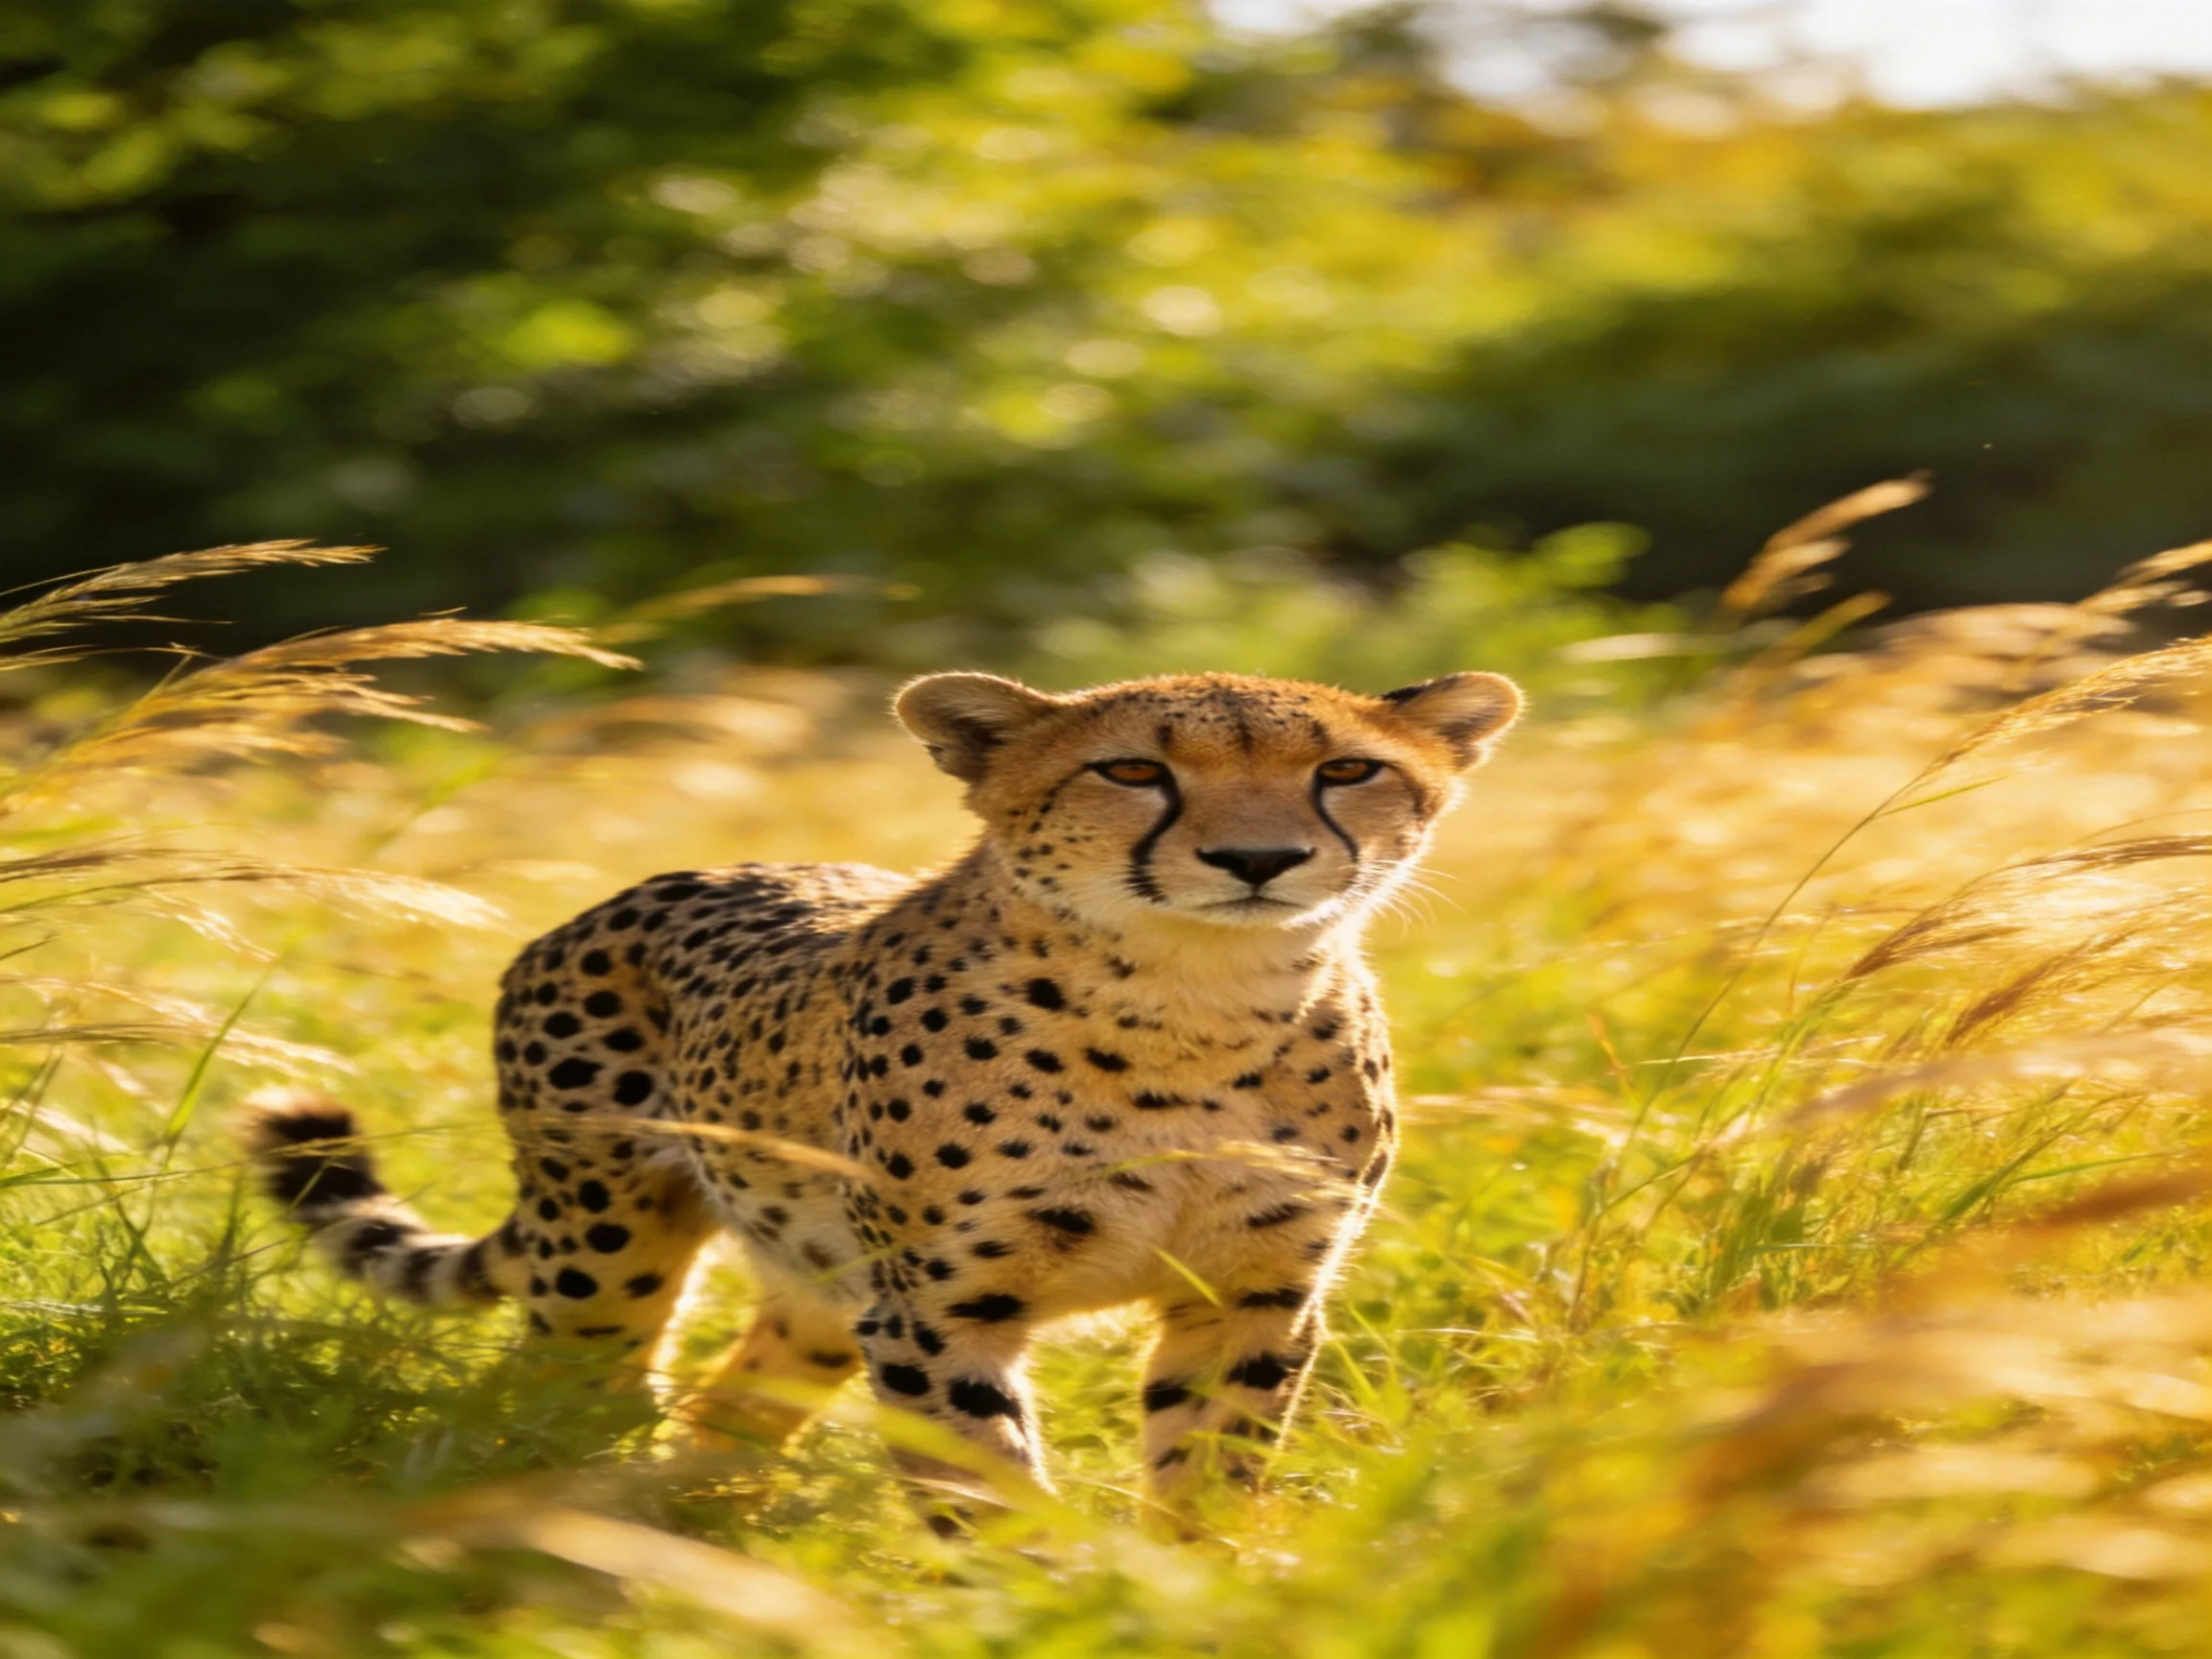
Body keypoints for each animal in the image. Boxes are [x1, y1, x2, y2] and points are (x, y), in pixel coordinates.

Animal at [245, 667, 1521, 1520]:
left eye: (1346, 770)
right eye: (1131, 770)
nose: (1257, 861)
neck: (1193, 1005)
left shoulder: (1253, 1294)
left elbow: (1209, 1474)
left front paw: (1190, 1593)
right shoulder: (938, 1308)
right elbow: (985, 1490)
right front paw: (1031, 1605)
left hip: (815, 1283)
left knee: (727, 1406)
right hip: (606, 1255)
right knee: (565, 1386)